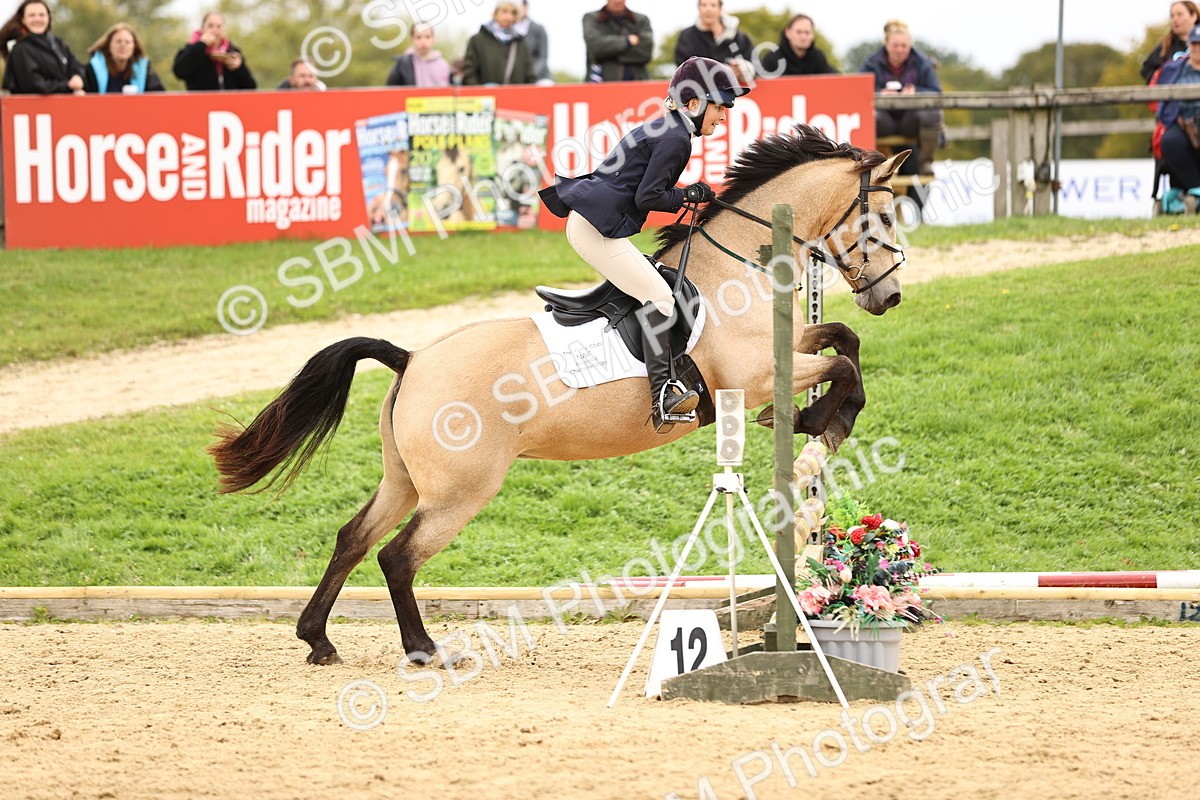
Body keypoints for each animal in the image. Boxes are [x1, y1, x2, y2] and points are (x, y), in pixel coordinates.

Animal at [208, 124, 910, 666]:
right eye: (882, 217)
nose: (892, 296)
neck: (741, 266)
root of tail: (413, 359)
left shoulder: (782, 352)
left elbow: (841, 339)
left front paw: (810, 420)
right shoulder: (754, 372)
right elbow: (841, 367)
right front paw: (825, 421)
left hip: (405, 479)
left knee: (352, 538)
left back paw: (318, 640)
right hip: (460, 491)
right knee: (398, 557)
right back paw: (423, 649)